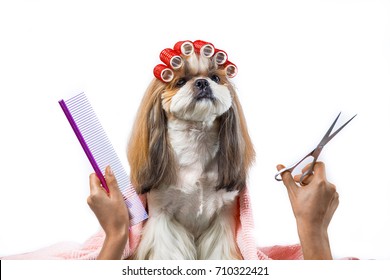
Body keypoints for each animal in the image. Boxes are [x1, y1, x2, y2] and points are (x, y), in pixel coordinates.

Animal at [128, 40, 256, 260]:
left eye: (215, 77)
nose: (202, 82)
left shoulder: (223, 216)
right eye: (180, 81)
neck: (197, 145)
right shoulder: (162, 217)